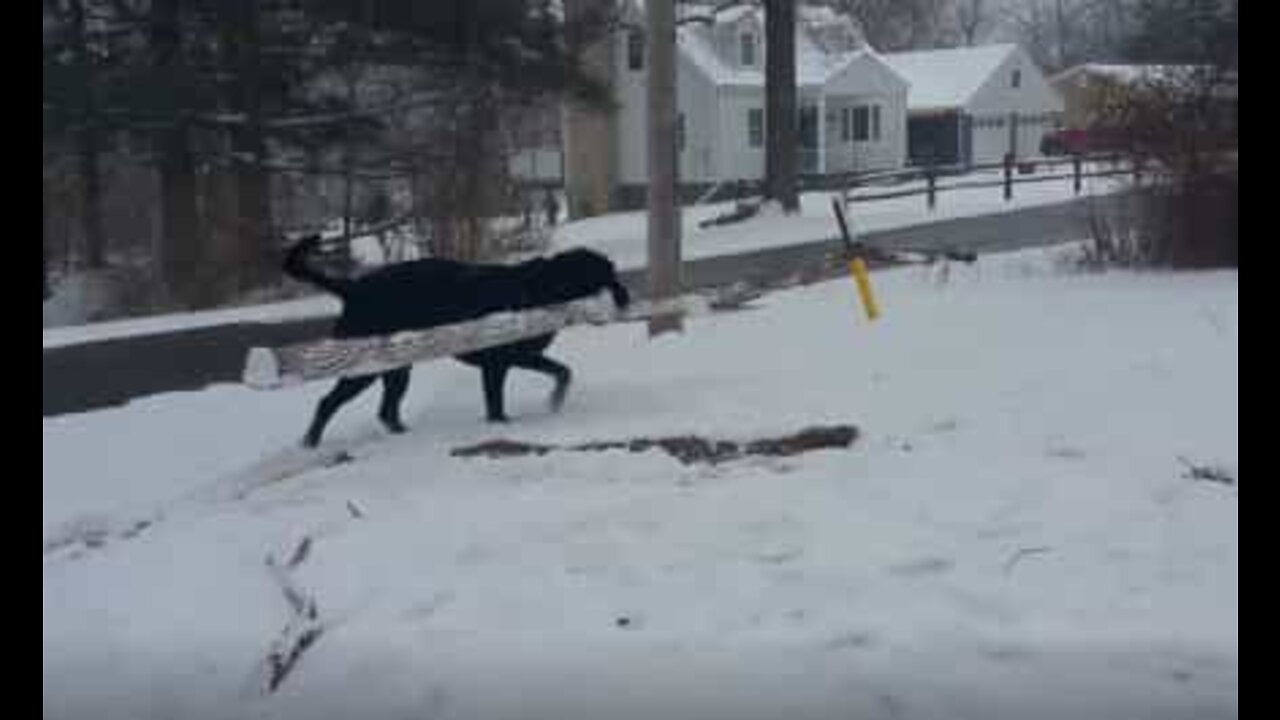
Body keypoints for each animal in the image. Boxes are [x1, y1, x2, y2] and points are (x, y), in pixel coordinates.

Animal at [288, 235, 632, 445]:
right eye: (607, 273)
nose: (626, 297)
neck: (537, 289)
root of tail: (353, 288)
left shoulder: (521, 357)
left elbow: (562, 371)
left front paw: (555, 400)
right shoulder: (497, 365)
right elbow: (496, 403)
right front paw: (502, 425)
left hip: (397, 370)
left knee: (386, 411)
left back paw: (402, 435)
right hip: (364, 371)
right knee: (328, 402)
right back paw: (310, 444)